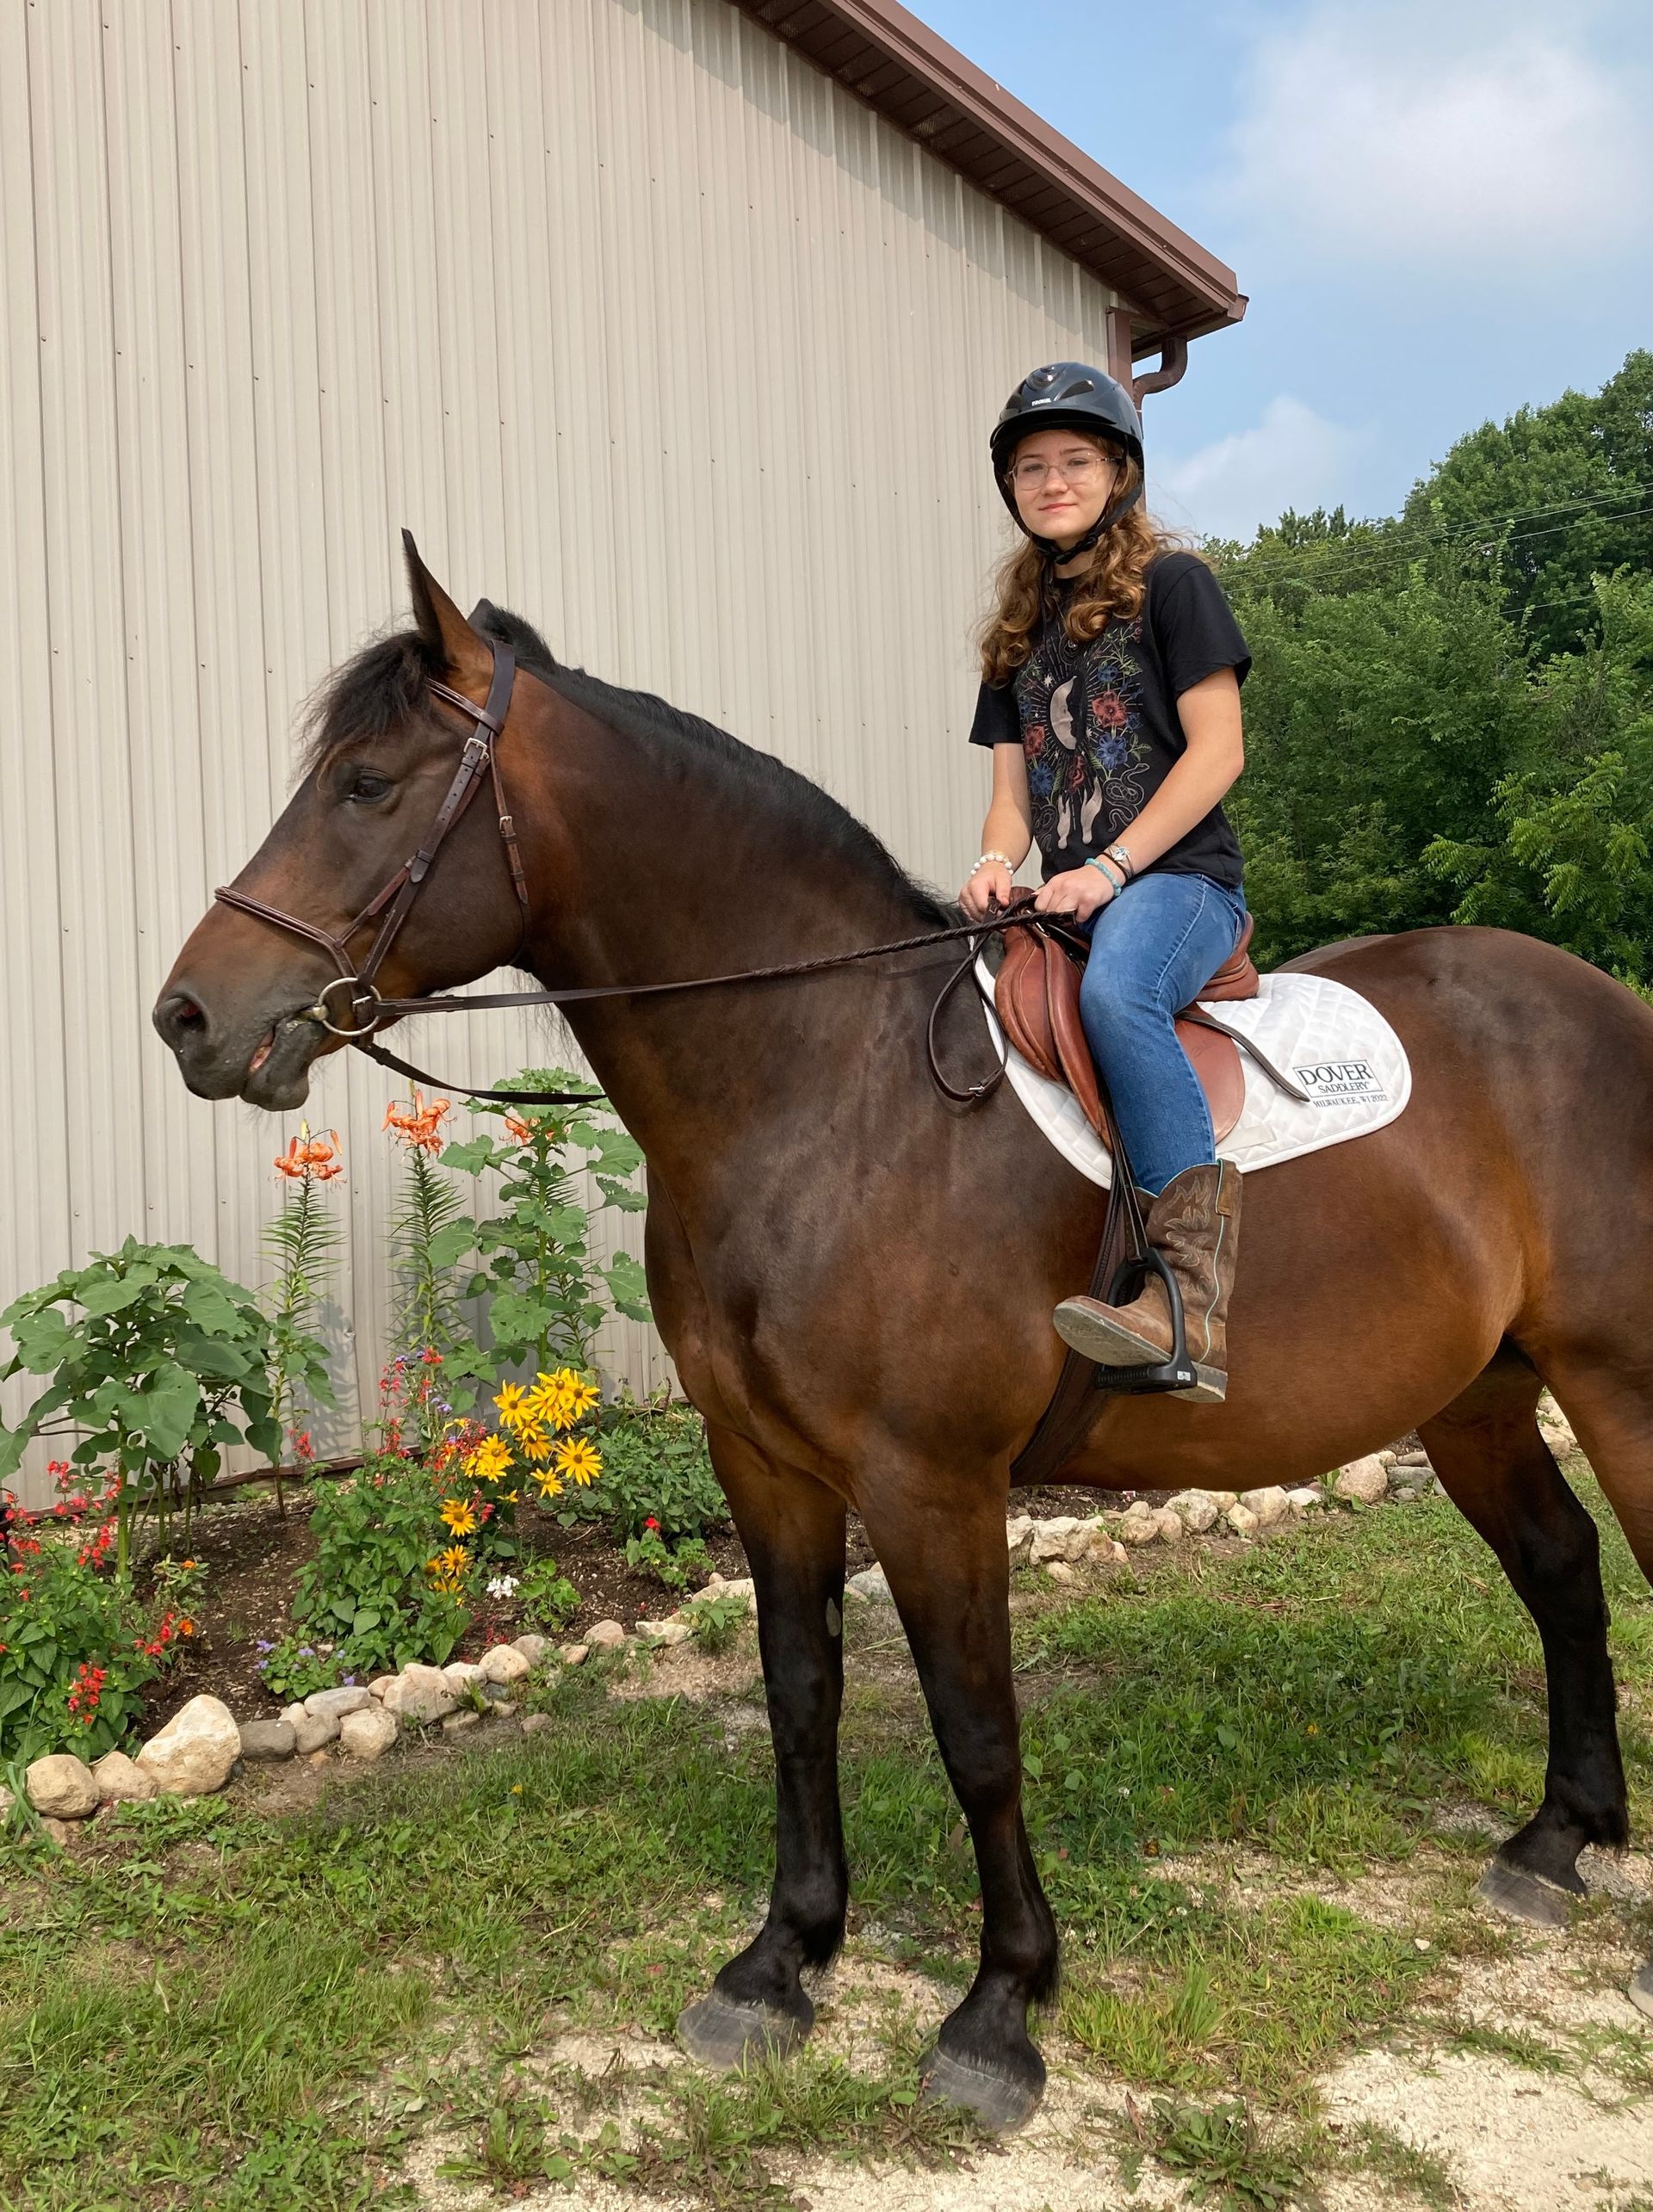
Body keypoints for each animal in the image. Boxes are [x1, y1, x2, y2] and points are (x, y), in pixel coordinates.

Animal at [155, 540, 1653, 2128]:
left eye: (368, 782)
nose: (187, 1016)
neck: (828, 1089)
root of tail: (1604, 1005)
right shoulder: (766, 1467)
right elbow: (800, 1695)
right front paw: (783, 1958)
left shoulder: (932, 1483)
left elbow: (976, 1731)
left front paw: (1001, 2008)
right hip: (1476, 1393)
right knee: (1562, 1568)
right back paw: (1559, 1839)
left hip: (1618, 1382)